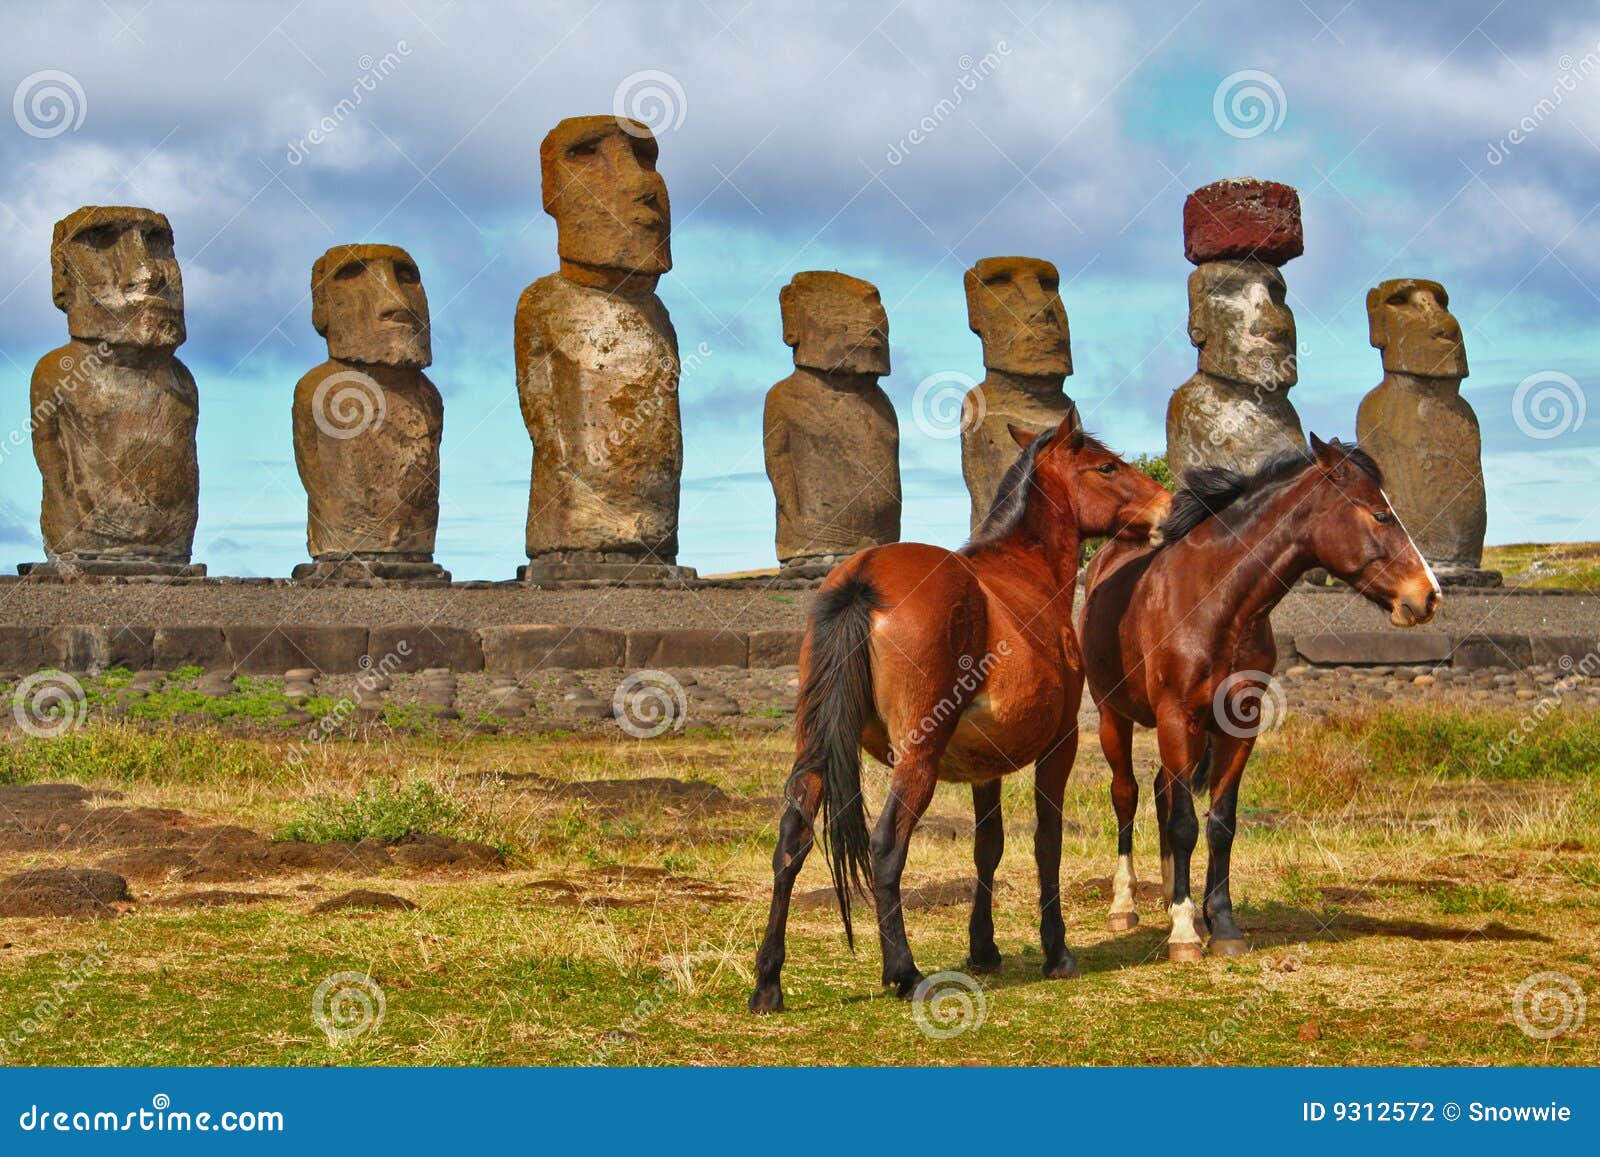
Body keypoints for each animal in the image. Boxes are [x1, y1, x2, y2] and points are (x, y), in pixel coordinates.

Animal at [748, 409, 1177, 1011]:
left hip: (814, 751)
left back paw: (768, 981)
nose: (1169, 506)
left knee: (792, 841)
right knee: (887, 847)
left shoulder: (983, 767)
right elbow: (1046, 844)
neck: (1024, 570)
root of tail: (864, 575)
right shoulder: (1060, 745)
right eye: (1107, 467)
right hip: (918, 760)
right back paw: (904, 972)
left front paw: (984, 948)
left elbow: (987, 848)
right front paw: (1056, 952)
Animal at [1081, 435, 1446, 960]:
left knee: (1163, 791)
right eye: (1379, 514)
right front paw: (1186, 933)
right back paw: (1126, 905)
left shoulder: (1237, 726)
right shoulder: (1175, 718)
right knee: (1127, 795)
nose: (1429, 595)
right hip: (1115, 716)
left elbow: (1220, 823)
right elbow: (1185, 824)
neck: (1213, 601)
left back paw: (1173, 895)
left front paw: (1221, 924)